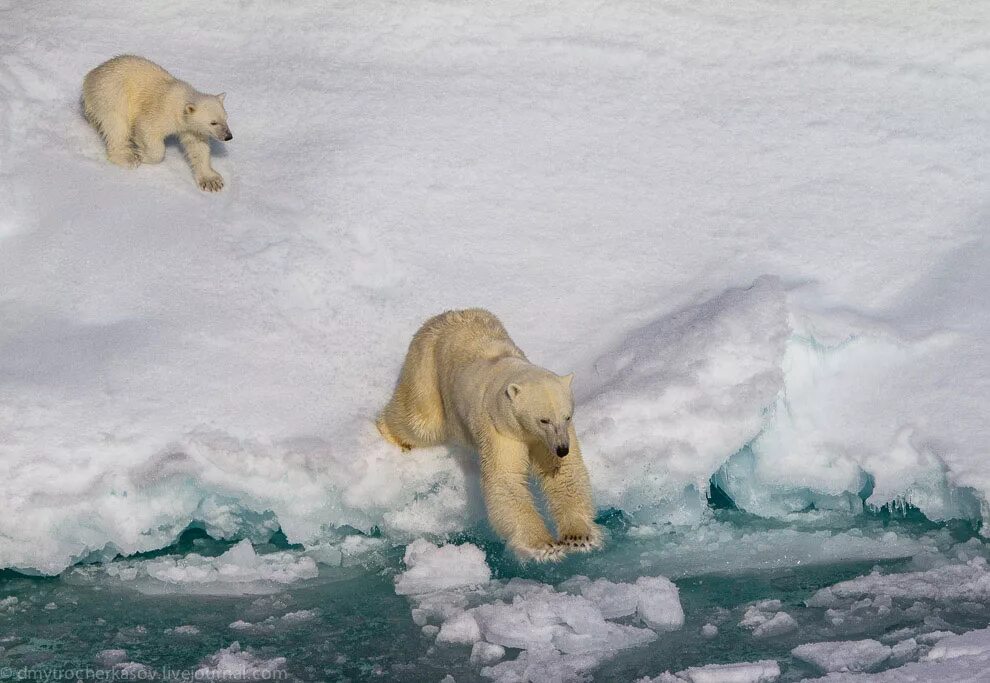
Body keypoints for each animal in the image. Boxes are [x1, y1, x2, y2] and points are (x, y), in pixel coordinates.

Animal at [82, 54, 233, 190]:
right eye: (213, 122)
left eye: (225, 118)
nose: (228, 136)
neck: (180, 102)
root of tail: (90, 76)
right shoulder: (162, 111)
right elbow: (147, 130)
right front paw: (141, 155)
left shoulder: (190, 128)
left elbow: (198, 147)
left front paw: (211, 181)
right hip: (111, 95)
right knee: (117, 126)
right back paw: (127, 158)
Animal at [380, 310, 604, 560]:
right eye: (544, 419)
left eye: (567, 416)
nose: (562, 449)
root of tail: (446, 315)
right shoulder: (500, 428)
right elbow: (505, 478)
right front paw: (544, 546)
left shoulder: (546, 438)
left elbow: (562, 473)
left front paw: (578, 538)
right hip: (427, 365)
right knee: (421, 421)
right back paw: (392, 436)